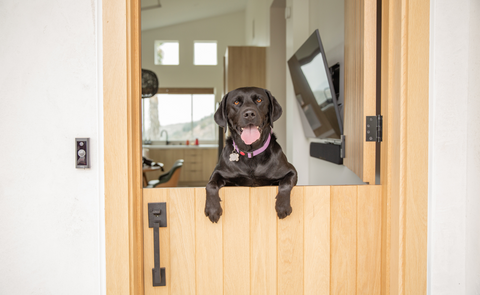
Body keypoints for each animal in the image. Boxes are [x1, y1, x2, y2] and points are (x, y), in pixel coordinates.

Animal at [205, 88, 298, 224]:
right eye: (236, 102)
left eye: (259, 100)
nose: (249, 114)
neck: (250, 153)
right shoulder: (218, 172)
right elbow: (210, 185)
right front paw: (212, 209)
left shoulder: (291, 170)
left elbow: (285, 184)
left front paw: (282, 206)